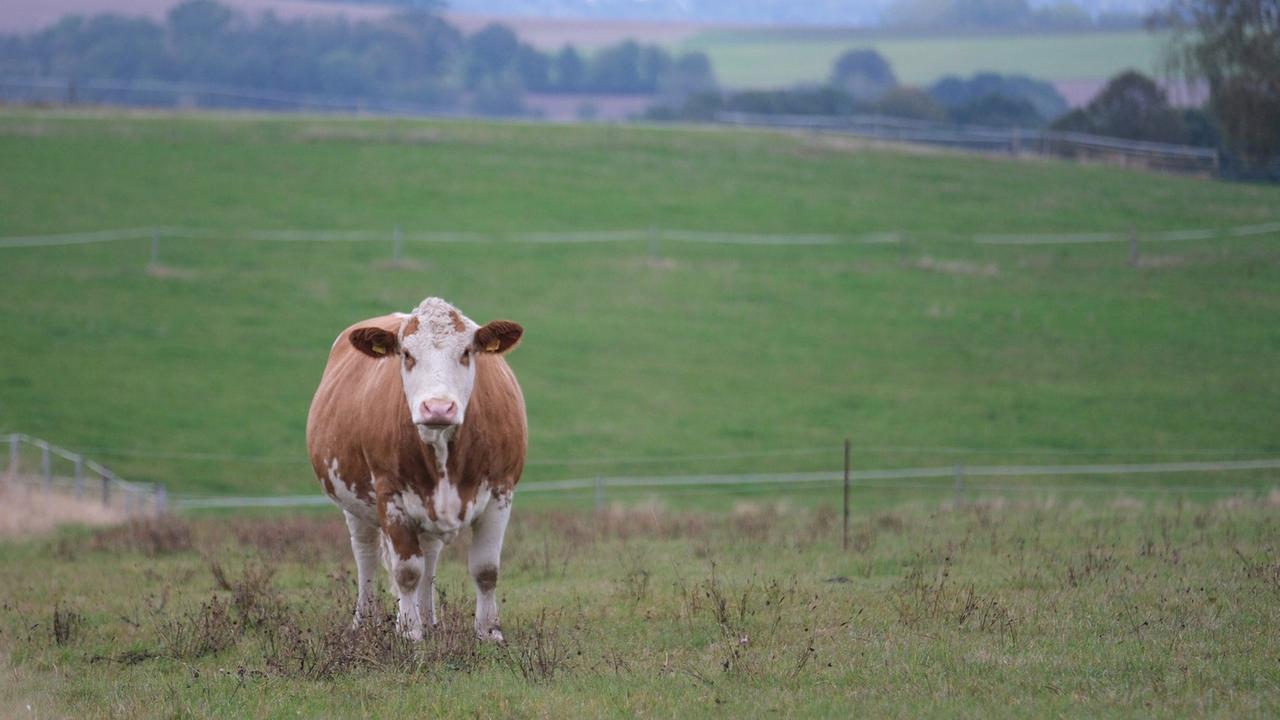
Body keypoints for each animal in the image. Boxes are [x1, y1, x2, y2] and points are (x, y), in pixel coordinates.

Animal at [306, 297, 526, 641]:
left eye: (466, 351)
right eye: (407, 354)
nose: (438, 408)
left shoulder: (501, 490)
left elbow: (485, 569)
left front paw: (489, 632)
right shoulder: (390, 494)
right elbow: (406, 571)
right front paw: (410, 633)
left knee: (430, 557)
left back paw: (428, 619)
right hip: (353, 500)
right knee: (366, 556)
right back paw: (366, 621)